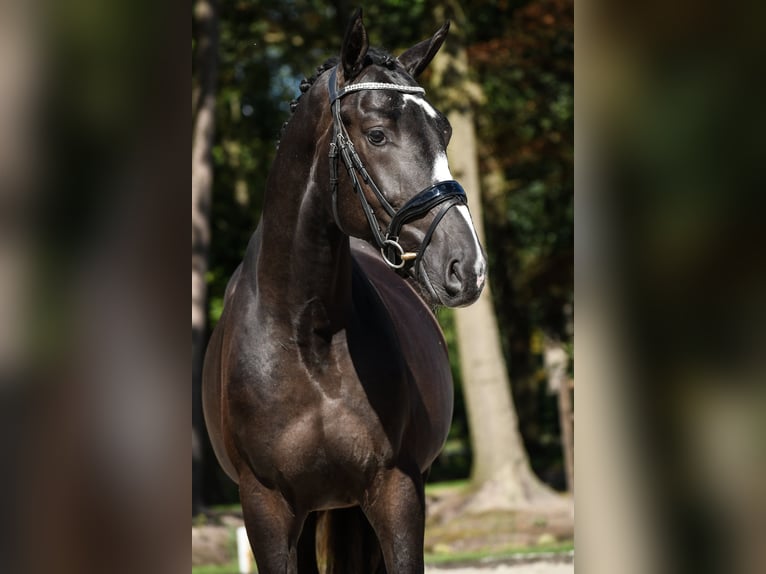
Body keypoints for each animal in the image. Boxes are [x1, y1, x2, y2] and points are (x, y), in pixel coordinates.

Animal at [200, 10, 486, 574]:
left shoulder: (397, 492)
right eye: (376, 134)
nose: (467, 267)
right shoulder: (266, 510)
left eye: (443, 131)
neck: (306, 331)